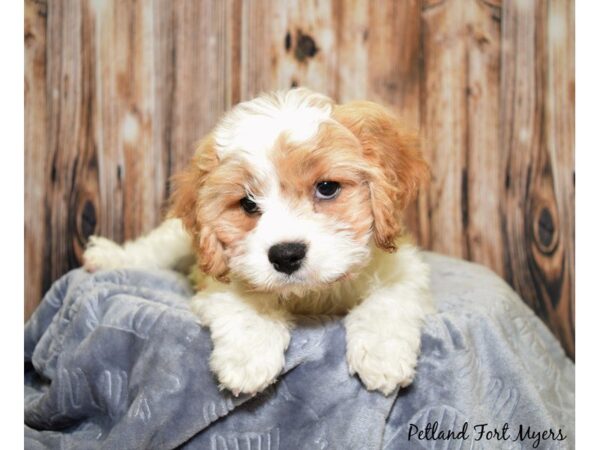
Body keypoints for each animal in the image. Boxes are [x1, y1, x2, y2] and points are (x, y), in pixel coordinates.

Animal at [82, 88, 434, 398]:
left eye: (327, 188)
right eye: (248, 203)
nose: (286, 255)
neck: (310, 295)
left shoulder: (401, 267)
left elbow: (388, 300)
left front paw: (382, 356)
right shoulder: (220, 275)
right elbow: (245, 302)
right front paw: (248, 358)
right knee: (155, 246)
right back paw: (110, 257)